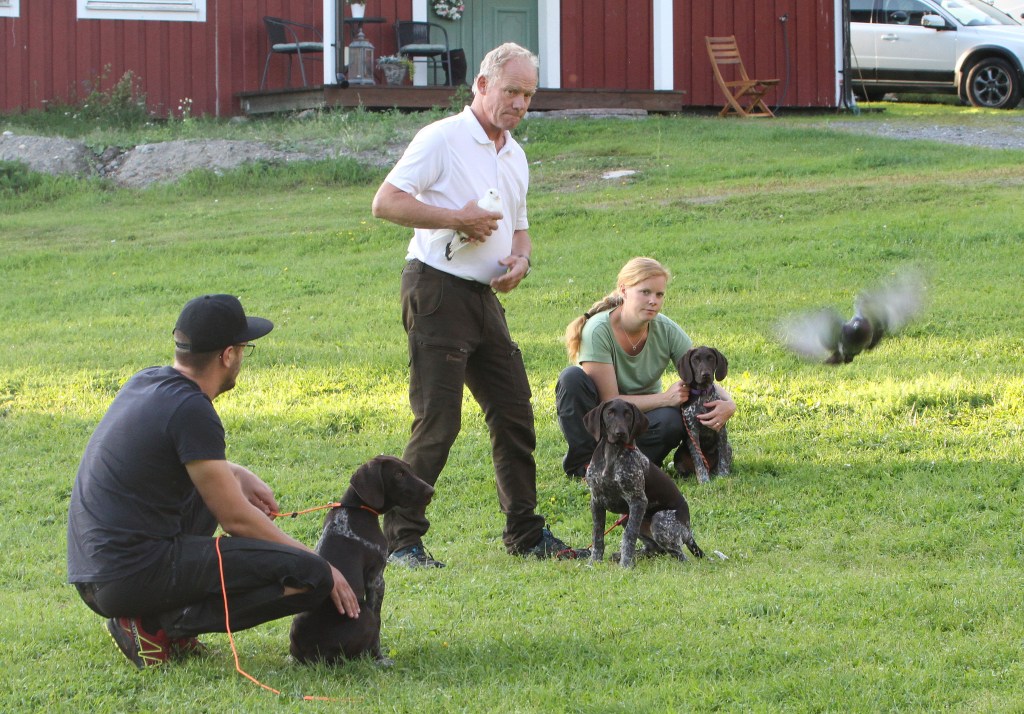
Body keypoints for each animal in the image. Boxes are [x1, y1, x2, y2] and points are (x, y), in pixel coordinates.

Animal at [289, 456, 433, 666]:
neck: (356, 509)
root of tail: (313, 657)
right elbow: (378, 624)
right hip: (363, 611)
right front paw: (380, 657)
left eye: (409, 469)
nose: (431, 491)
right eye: (398, 474)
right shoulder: (376, 580)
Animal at [583, 399, 704, 568]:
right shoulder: (596, 500)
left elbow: (629, 535)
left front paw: (626, 565)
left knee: (680, 555)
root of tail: (688, 530)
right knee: (656, 548)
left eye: (628, 414)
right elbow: (597, 534)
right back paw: (625, 555)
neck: (612, 453)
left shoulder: (638, 501)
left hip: (660, 521)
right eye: (610, 413)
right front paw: (594, 562)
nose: (620, 433)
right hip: (625, 516)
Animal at [673, 346, 732, 485]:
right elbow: (699, 460)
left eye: (711, 358)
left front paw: (723, 475)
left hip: (729, 447)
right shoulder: (693, 433)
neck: (703, 395)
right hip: (678, 455)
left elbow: (723, 458)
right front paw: (704, 480)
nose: (705, 374)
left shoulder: (720, 429)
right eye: (695, 359)